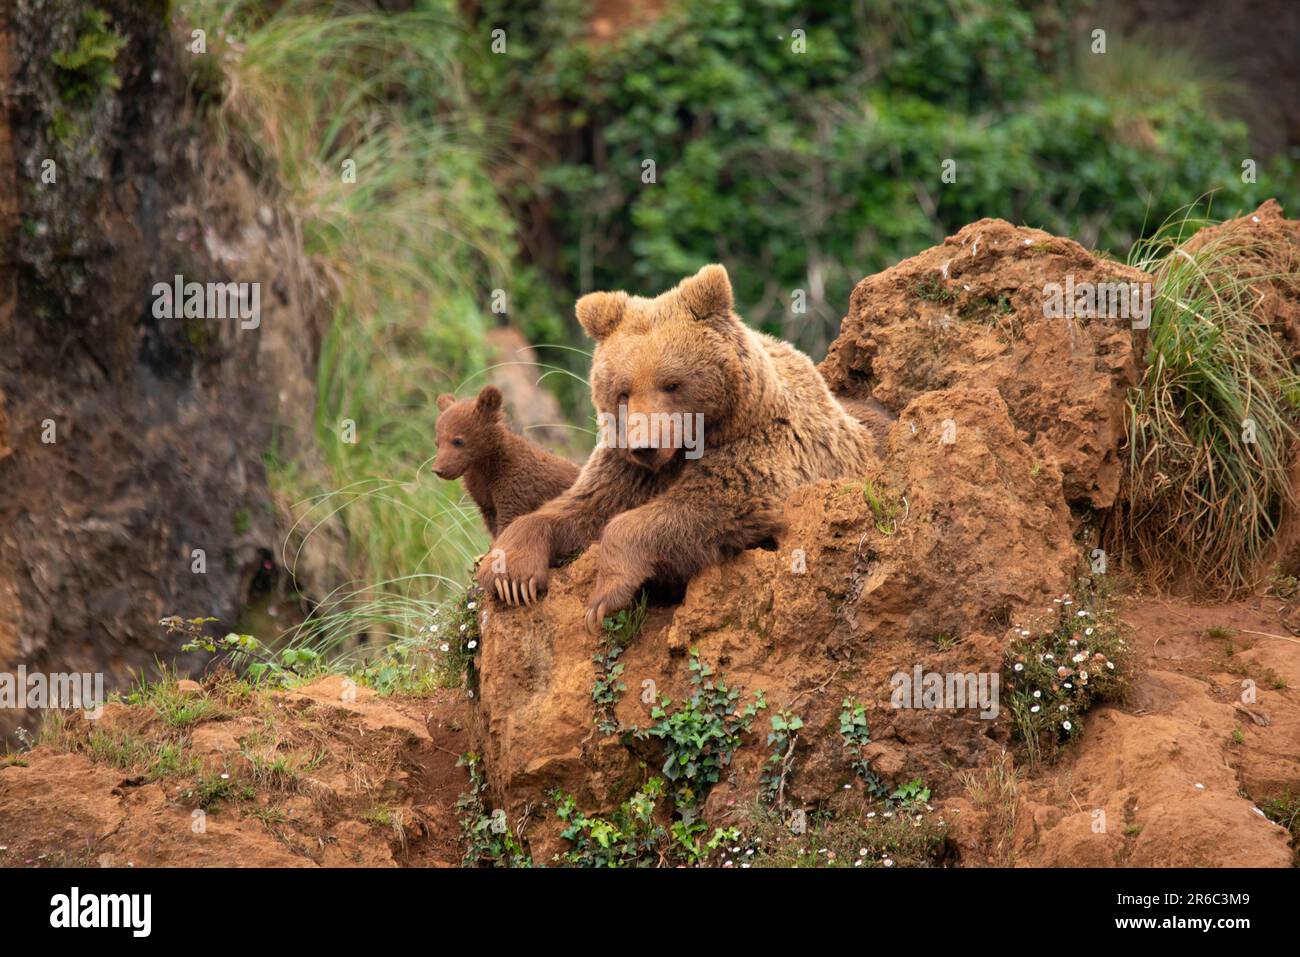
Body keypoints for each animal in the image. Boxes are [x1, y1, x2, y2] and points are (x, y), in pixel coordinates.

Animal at [434, 385, 580, 538]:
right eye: (437, 443)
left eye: (457, 441)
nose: (438, 469)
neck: (485, 467)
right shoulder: (483, 497)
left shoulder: (515, 489)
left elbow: (508, 523)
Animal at [477, 263, 878, 631]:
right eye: (623, 391)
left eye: (671, 384)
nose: (645, 446)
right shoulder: (624, 468)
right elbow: (581, 507)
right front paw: (509, 575)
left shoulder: (760, 450)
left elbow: (706, 508)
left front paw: (603, 598)